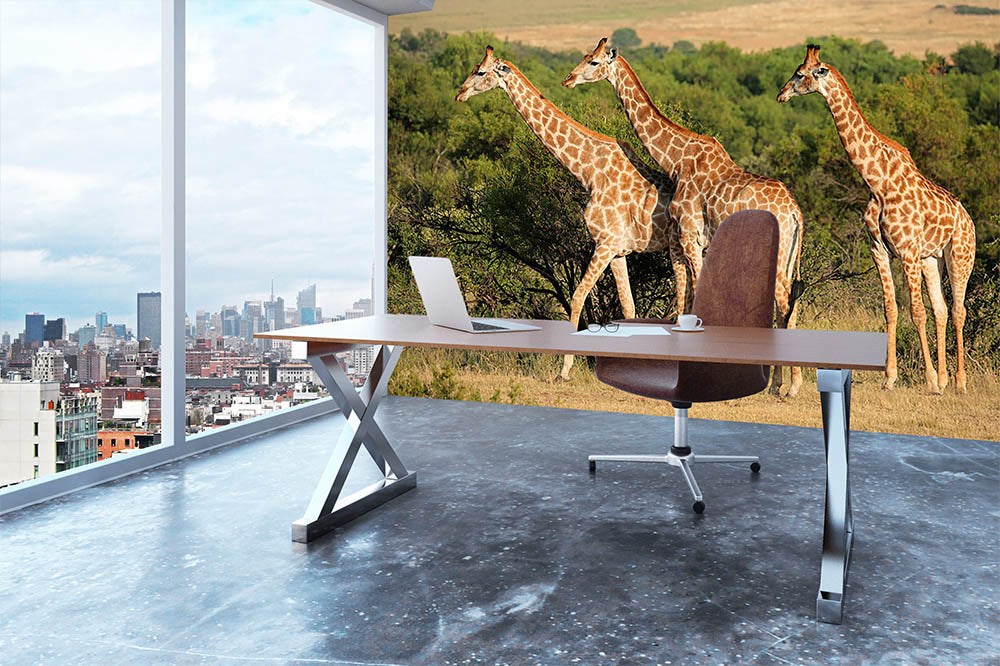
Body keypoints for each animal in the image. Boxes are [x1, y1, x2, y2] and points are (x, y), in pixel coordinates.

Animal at [456, 46, 681, 380]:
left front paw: (564, 370)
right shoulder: (618, 250)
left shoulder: (605, 243)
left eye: (481, 72)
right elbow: (628, 307)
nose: (459, 93)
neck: (589, 171)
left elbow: (577, 296)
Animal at [563, 38, 806, 398]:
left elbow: (696, 298)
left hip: (776, 255)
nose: (568, 79)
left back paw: (790, 386)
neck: (676, 158)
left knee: (784, 301)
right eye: (584, 57)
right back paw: (779, 382)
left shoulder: (690, 237)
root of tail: (794, 210)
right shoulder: (687, 242)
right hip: (789, 255)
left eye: (593, 62)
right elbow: (687, 299)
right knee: (788, 301)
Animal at [778, 44, 976, 393]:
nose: (781, 94)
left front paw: (927, 380)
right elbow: (891, 309)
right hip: (932, 259)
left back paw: (958, 383)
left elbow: (916, 311)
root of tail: (969, 220)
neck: (877, 181)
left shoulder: (907, 251)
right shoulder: (880, 249)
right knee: (941, 309)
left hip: (960, 256)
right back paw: (944, 379)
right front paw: (890, 377)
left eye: (800, 74)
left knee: (958, 310)